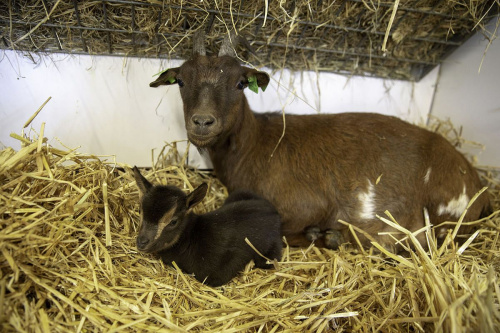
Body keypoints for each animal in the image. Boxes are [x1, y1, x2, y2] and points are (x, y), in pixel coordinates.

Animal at [149, 32, 492, 250]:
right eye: (181, 81)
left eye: (239, 83)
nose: (202, 121)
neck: (257, 145)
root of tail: (478, 185)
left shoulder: (306, 204)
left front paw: (320, 235)